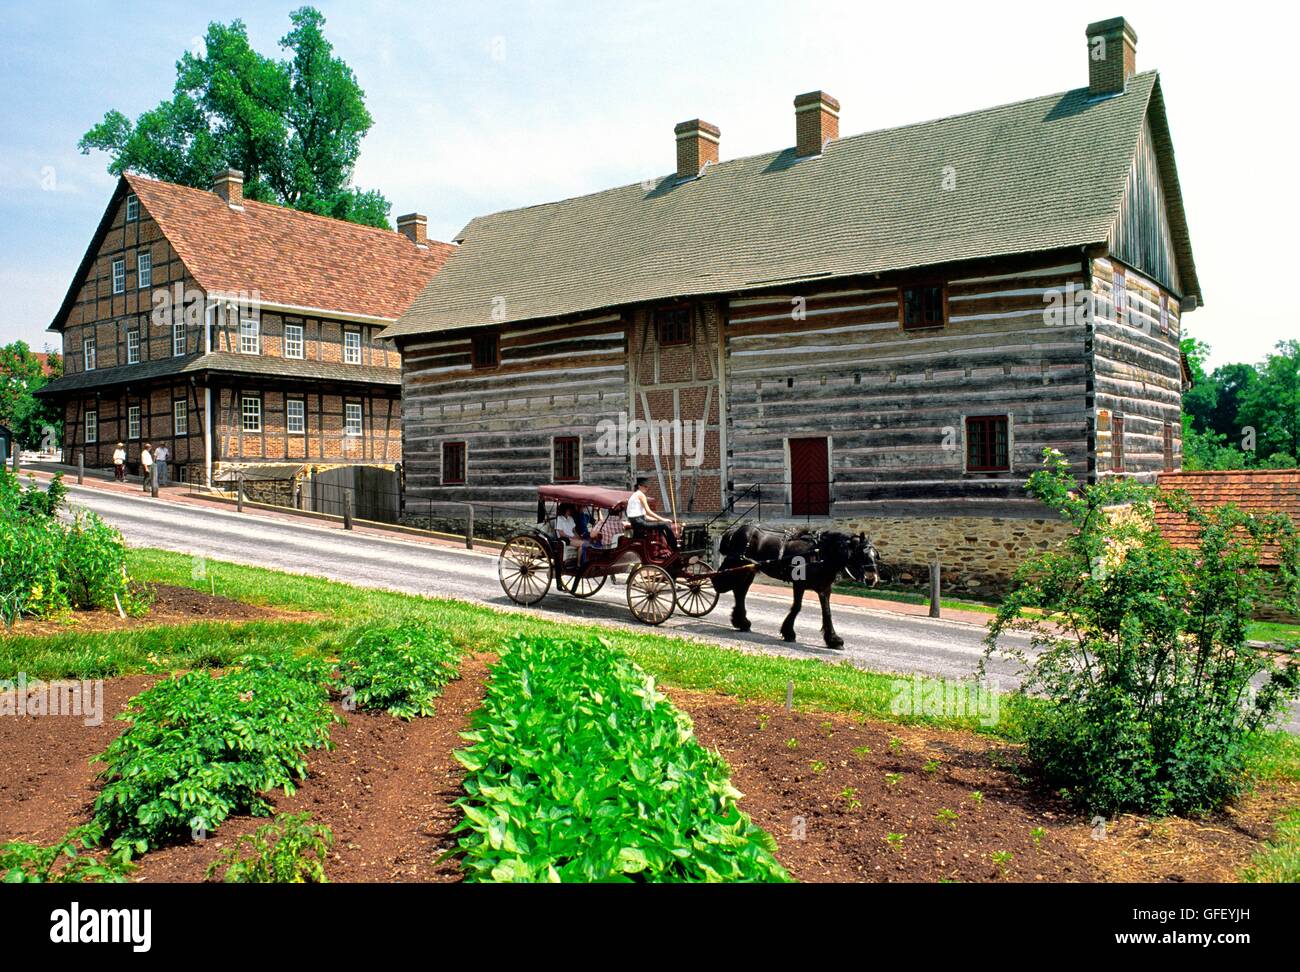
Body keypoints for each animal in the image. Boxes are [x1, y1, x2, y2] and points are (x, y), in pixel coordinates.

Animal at [712, 527, 883, 649]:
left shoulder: (824, 588)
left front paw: (833, 639)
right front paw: (788, 632)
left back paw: (742, 622)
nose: (872, 579)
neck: (822, 553)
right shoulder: (799, 584)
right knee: (726, 584)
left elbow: (827, 612)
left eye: (875, 555)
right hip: (737, 566)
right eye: (862, 554)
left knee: (740, 592)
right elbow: (797, 607)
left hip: (749, 570)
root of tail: (736, 530)